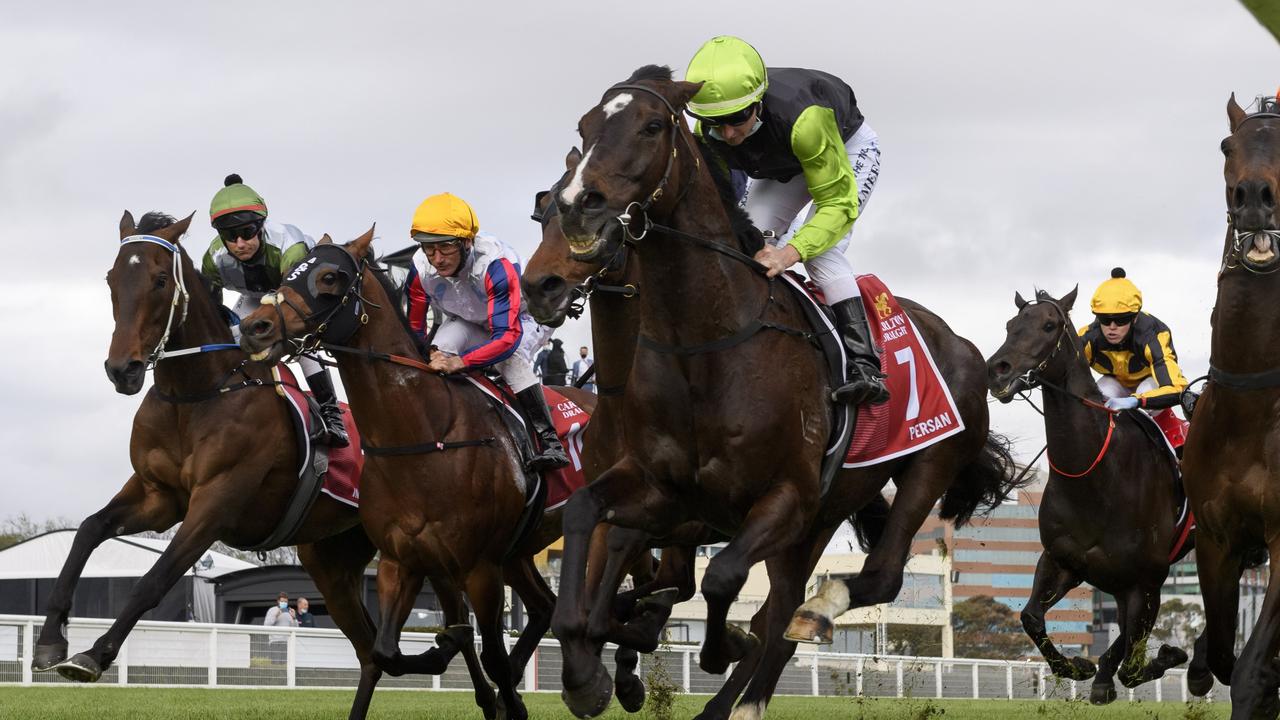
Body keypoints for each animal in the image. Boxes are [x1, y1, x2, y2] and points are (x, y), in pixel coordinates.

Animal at [36, 210, 483, 717]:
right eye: (112, 279)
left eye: (158, 280)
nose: (122, 370)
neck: (199, 392)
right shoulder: (157, 495)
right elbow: (89, 530)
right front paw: (50, 641)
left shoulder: (218, 499)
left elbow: (153, 579)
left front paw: (92, 654)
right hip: (333, 560)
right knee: (373, 650)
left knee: (455, 626)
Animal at [238, 228, 596, 717]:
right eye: (288, 274)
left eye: (329, 277)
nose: (255, 327)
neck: (424, 436)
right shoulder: (402, 560)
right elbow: (385, 651)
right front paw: (448, 652)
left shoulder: (480, 568)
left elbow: (491, 656)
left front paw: (492, 685)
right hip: (519, 553)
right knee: (544, 608)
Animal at [519, 64, 1018, 712]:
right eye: (585, 126)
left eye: (652, 126)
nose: (541, 284)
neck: (706, 346)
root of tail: (962, 344)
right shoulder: (662, 492)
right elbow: (587, 525)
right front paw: (587, 674)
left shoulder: (781, 496)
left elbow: (720, 580)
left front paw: (707, 646)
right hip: (822, 515)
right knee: (778, 609)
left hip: (923, 466)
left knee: (860, 582)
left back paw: (812, 619)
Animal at [988, 284, 1187, 702]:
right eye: (1011, 324)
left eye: (1049, 325)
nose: (997, 369)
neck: (1097, 478)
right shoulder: (1062, 560)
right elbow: (1031, 617)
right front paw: (1079, 667)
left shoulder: (1147, 580)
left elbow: (1132, 664)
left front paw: (1169, 654)